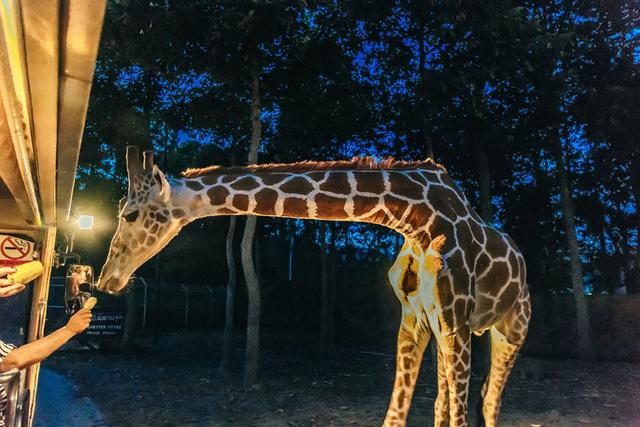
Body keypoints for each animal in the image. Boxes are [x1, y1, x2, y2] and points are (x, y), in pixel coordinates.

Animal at [99, 147, 528, 427]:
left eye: (130, 214)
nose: (108, 280)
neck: (415, 218)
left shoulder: (455, 320)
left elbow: (461, 413)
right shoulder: (416, 318)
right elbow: (400, 413)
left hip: (509, 329)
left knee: (489, 402)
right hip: (448, 331)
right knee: (447, 401)